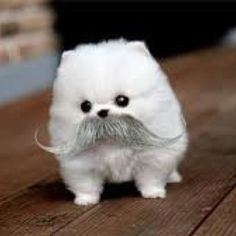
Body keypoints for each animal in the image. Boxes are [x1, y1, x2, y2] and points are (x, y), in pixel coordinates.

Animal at [42, 38, 187, 205]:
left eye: (122, 100)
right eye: (85, 106)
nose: (102, 111)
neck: (113, 139)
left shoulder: (152, 157)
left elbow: (151, 178)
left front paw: (153, 193)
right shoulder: (81, 164)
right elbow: (86, 184)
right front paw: (85, 200)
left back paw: (174, 177)